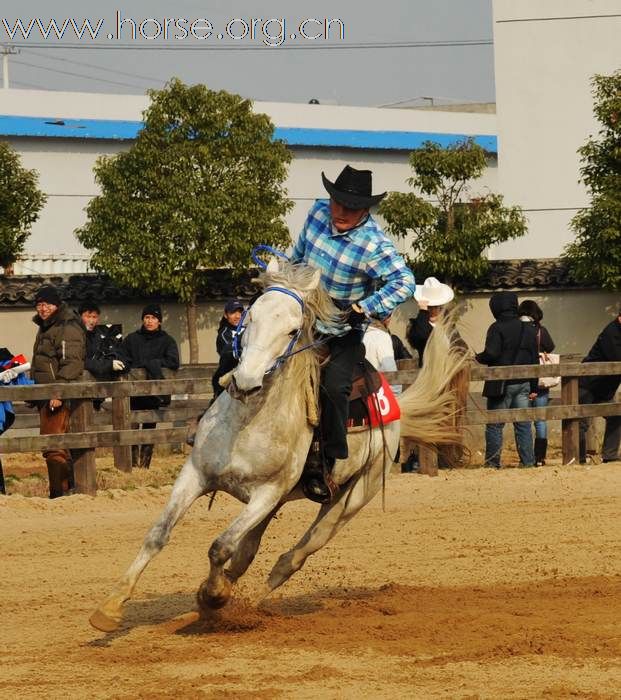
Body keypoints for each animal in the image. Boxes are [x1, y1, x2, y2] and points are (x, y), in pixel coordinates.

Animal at [89, 260, 468, 632]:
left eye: (292, 331)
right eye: (249, 318)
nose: (245, 382)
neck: (247, 424)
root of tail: (395, 405)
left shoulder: (267, 493)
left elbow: (220, 546)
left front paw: (214, 595)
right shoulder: (195, 475)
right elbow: (159, 534)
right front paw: (110, 607)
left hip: (352, 497)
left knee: (293, 557)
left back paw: (235, 607)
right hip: (281, 502)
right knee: (248, 552)